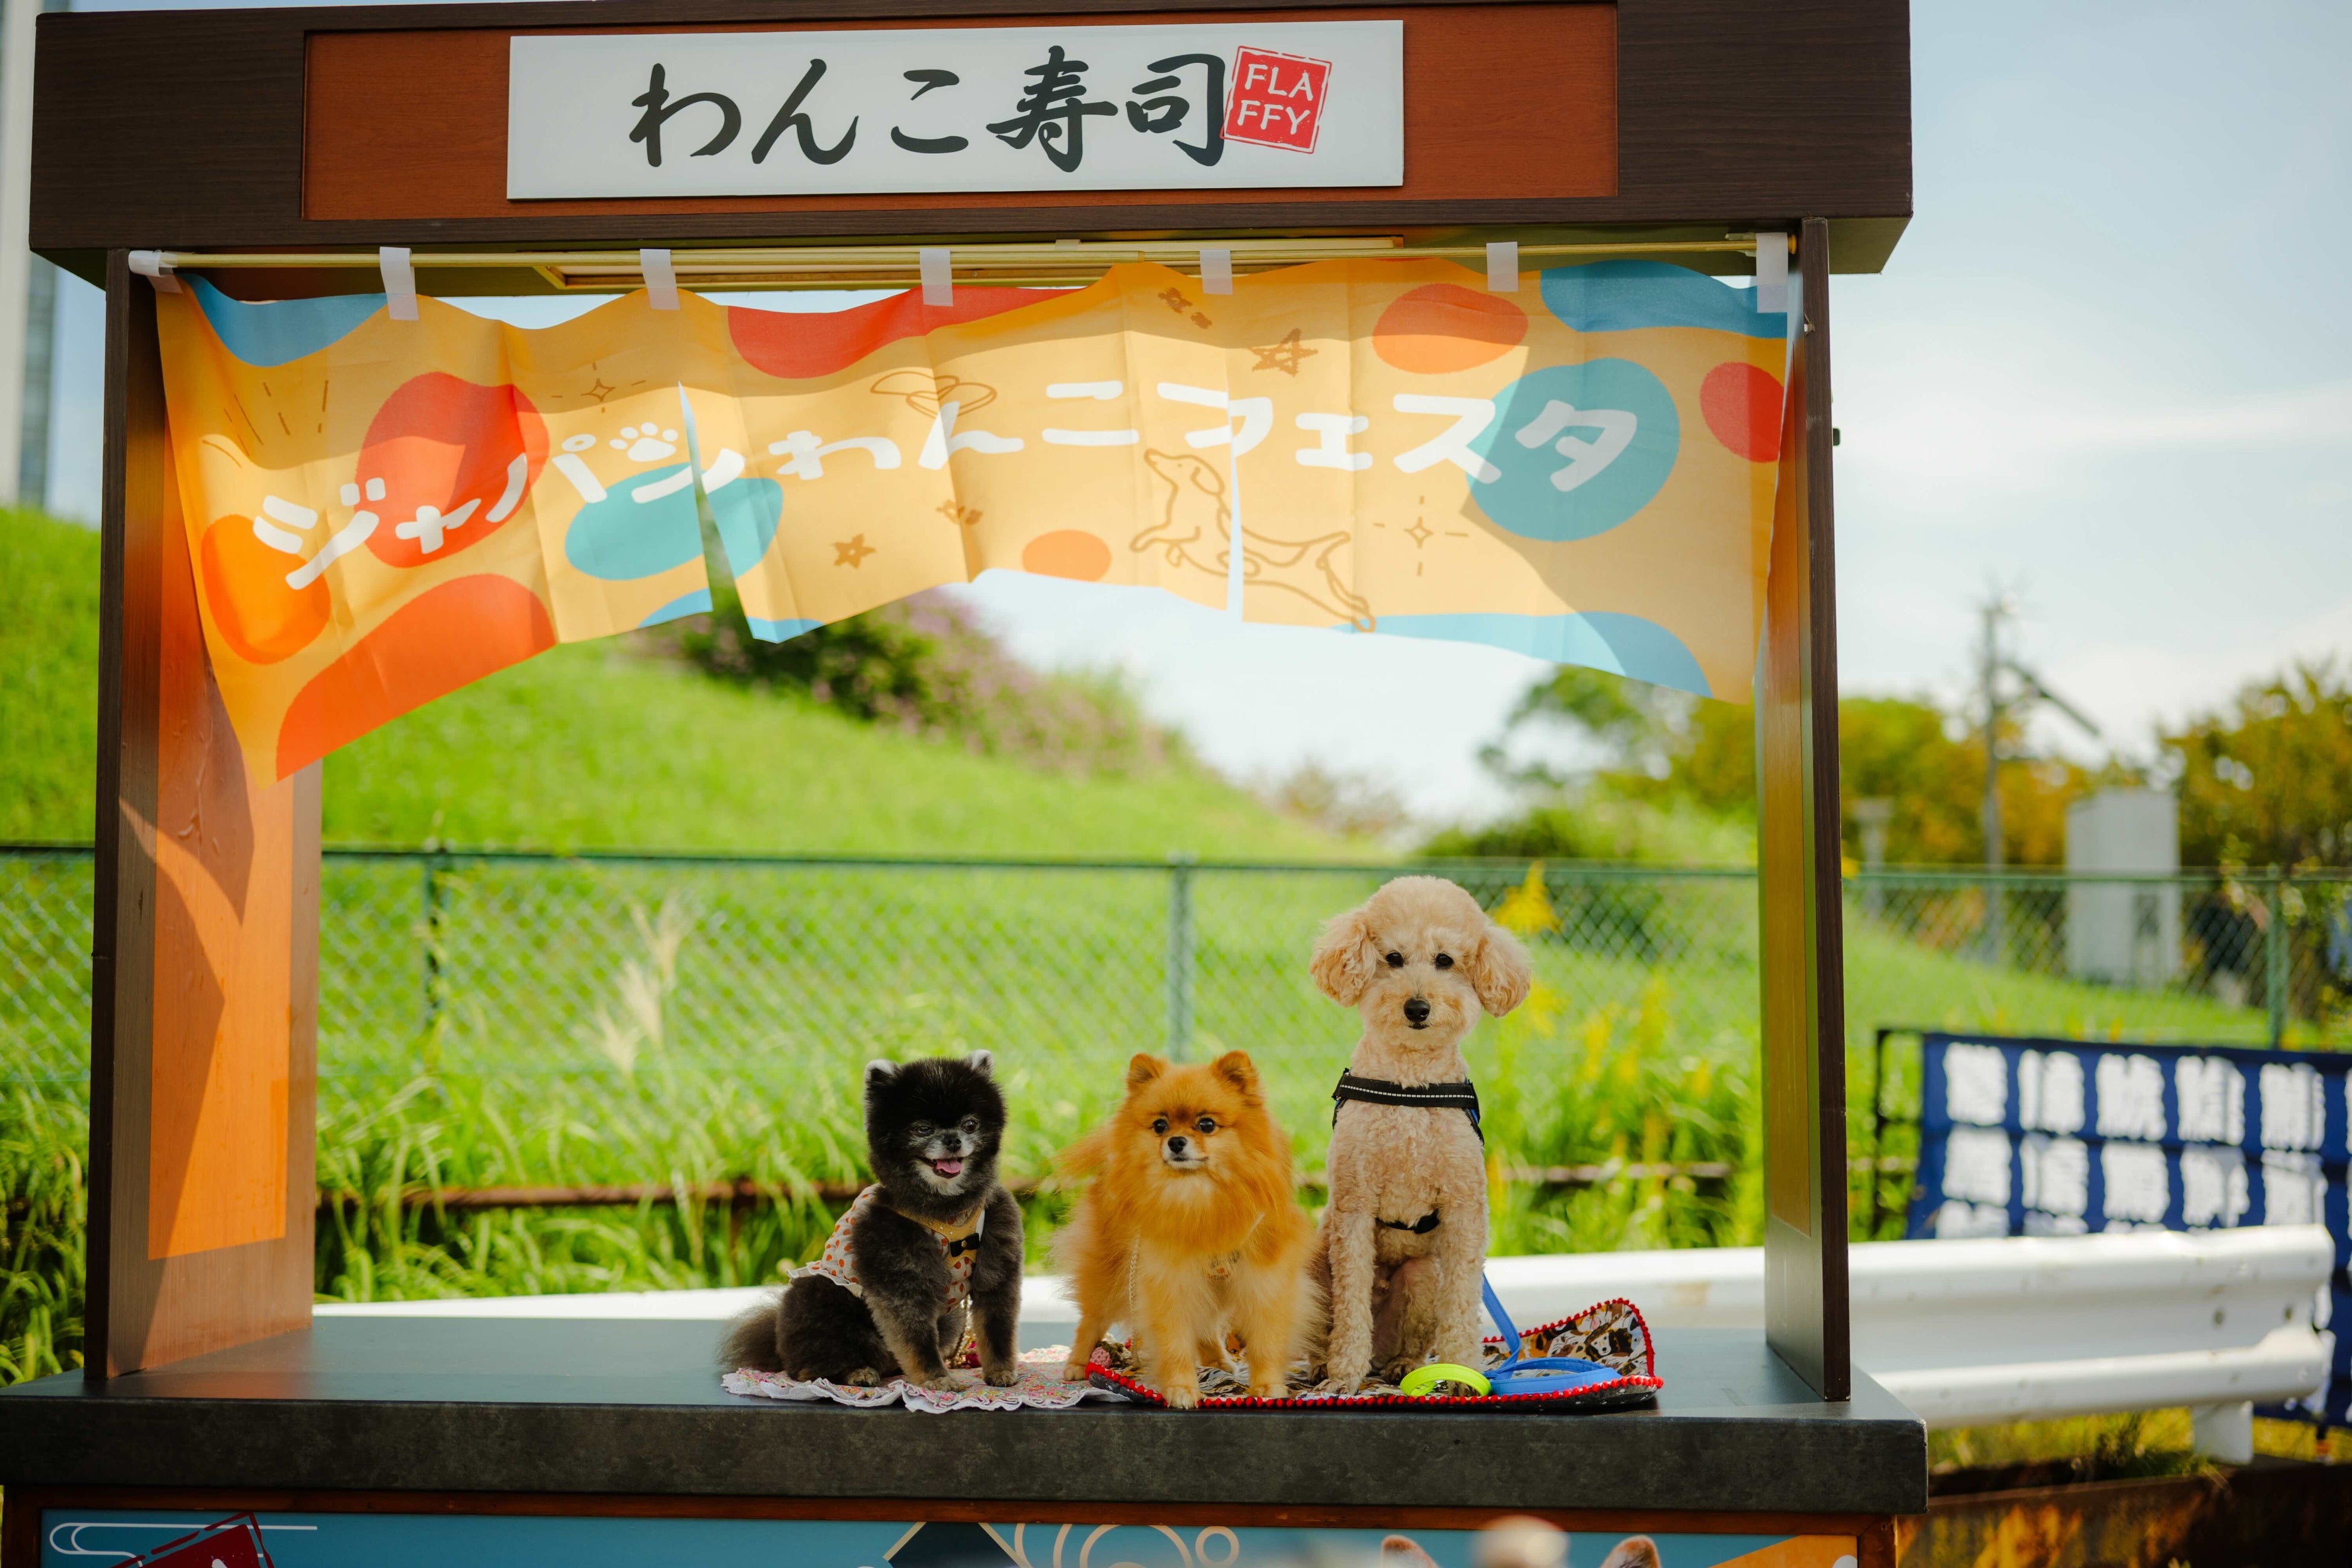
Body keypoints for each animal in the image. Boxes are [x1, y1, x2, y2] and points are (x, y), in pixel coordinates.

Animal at [721, 1052, 1022, 1390]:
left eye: (970, 1125)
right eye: (922, 1129)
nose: (953, 1141)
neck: (948, 1210)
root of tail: (777, 1343)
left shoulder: (998, 1260)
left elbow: (997, 1327)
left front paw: (1000, 1371)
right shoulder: (898, 1271)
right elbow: (917, 1337)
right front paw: (936, 1378)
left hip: (951, 1318)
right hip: (823, 1294)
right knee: (808, 1365)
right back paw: (856, 1372)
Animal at [1054, 1051, 1317, 1407]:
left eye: (1206, 1125)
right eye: (1160, 1126)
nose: (1175, 1142)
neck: (1199, 1198)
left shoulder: (1263, 1282)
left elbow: (1267, 1343)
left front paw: (1267, 1387)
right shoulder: (1170, 1284)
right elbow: (1176, 1344)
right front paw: (1181, 1389)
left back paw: (1218, 1361)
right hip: (1107, 1276)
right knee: (1091, 1321)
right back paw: (1078, 1364)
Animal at [1306, 876, 1530, 1388]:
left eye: (1445, 960)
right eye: (1392, 958)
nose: (1417, 1007)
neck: (1410, 1086)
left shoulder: (1466, 1208)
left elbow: (1463, 1305)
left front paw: (1464, 1371)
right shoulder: (1353, 1206)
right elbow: (1350, 1307)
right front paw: (1344, 1375)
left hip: (1424, 1274)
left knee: (1410, 1337)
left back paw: (1406, 1366)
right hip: (1313, 1262)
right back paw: (1325, 1363)